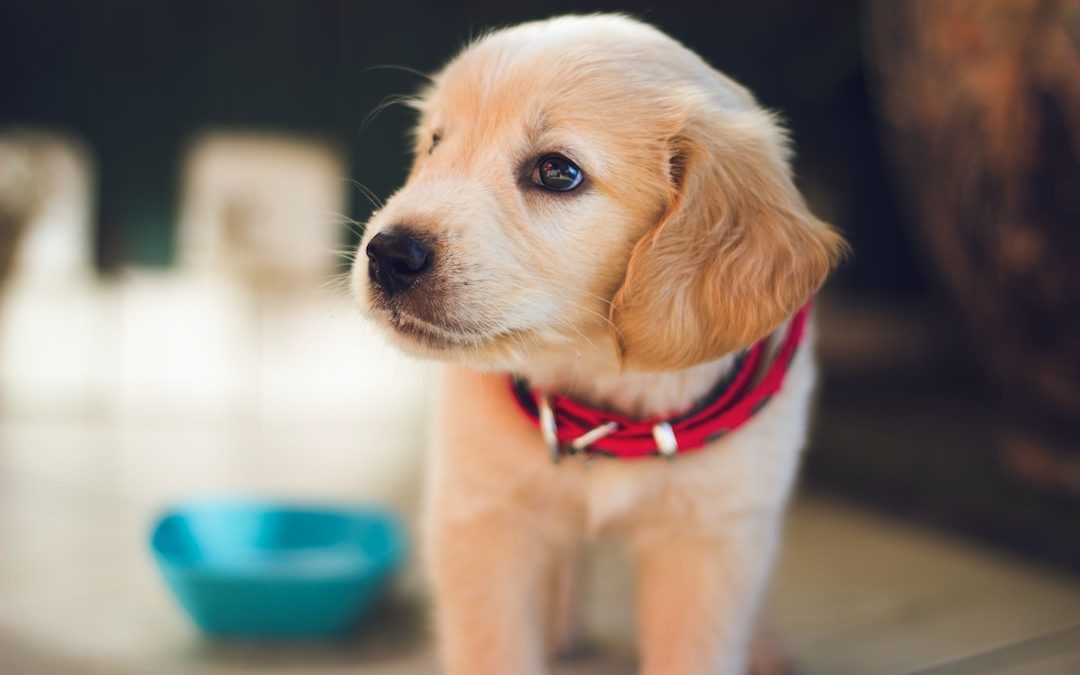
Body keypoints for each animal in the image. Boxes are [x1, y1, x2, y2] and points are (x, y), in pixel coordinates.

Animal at [352, 15, 842, 673]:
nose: (387, 254)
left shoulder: (712, 539)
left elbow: (696, 648)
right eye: (435, 143)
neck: (603, 394)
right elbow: (493, 646)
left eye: (557, 172)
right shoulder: (482, 518)